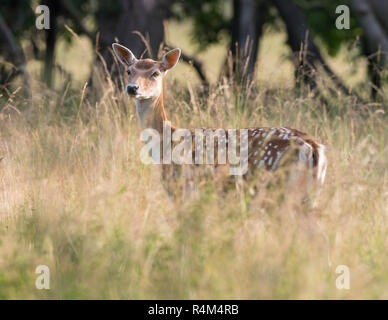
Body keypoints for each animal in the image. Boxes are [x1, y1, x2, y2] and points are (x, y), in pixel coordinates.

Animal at [112, 43, 328, 202]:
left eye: (155, 73)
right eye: (129, 70)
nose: (132, 88)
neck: (168, 144)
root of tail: (313, 146)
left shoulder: (183, 190)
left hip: (280, 187)